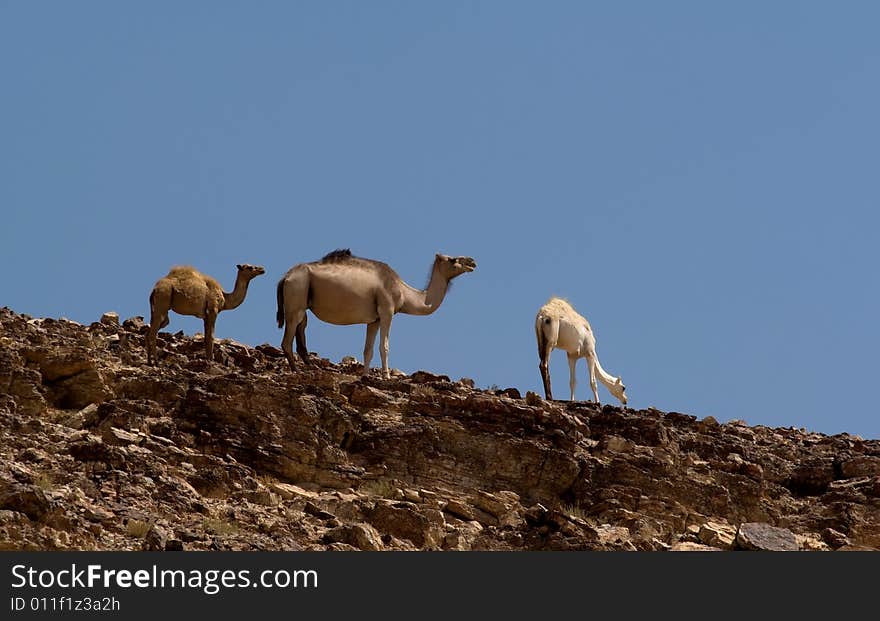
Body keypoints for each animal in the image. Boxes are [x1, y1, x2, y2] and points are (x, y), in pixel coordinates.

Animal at [278, 248, 478, 378]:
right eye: (452, 259)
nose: (472, 262)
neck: (404, 292)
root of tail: (285, 277)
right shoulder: (387, 310)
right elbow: (385, 346)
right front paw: (386, 377)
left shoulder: (373, 319)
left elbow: (368, 349)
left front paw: (365, 376)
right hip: (297, 292)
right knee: (288, 338)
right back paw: (296, 371)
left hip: (302, 298)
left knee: (301, 328)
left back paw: (310, 368)